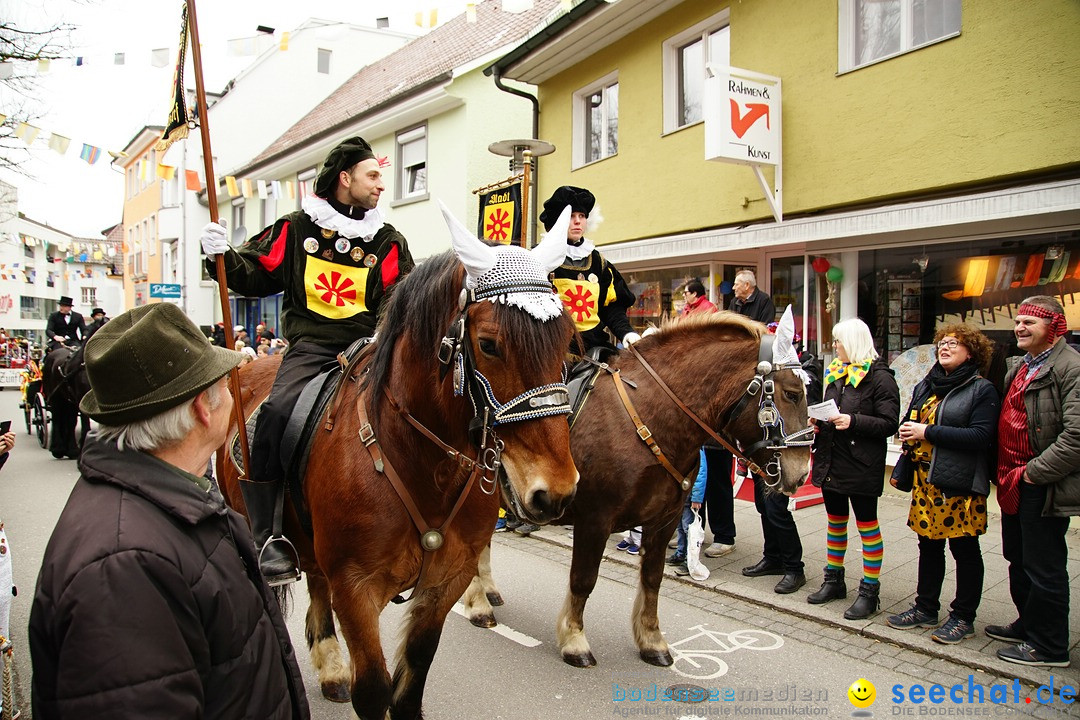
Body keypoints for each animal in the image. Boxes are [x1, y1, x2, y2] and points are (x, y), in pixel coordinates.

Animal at [213, 205, 578, 716]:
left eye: (566, 340)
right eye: (488, 343)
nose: (556, 492)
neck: (420, 465)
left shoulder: (445, 583)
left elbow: (410, 685)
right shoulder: (356, 588)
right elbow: (374, 690)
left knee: (316, 585)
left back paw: (330, 667)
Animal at [462, 310, 812, 669]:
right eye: (792, 393)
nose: (801, 474)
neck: (649, 416)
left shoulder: (664, 519)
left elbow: (653, 578)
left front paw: (651, 640)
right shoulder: (595, 520)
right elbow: (583, 580)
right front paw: (574, 639)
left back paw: (487, 592)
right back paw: (479, 604)